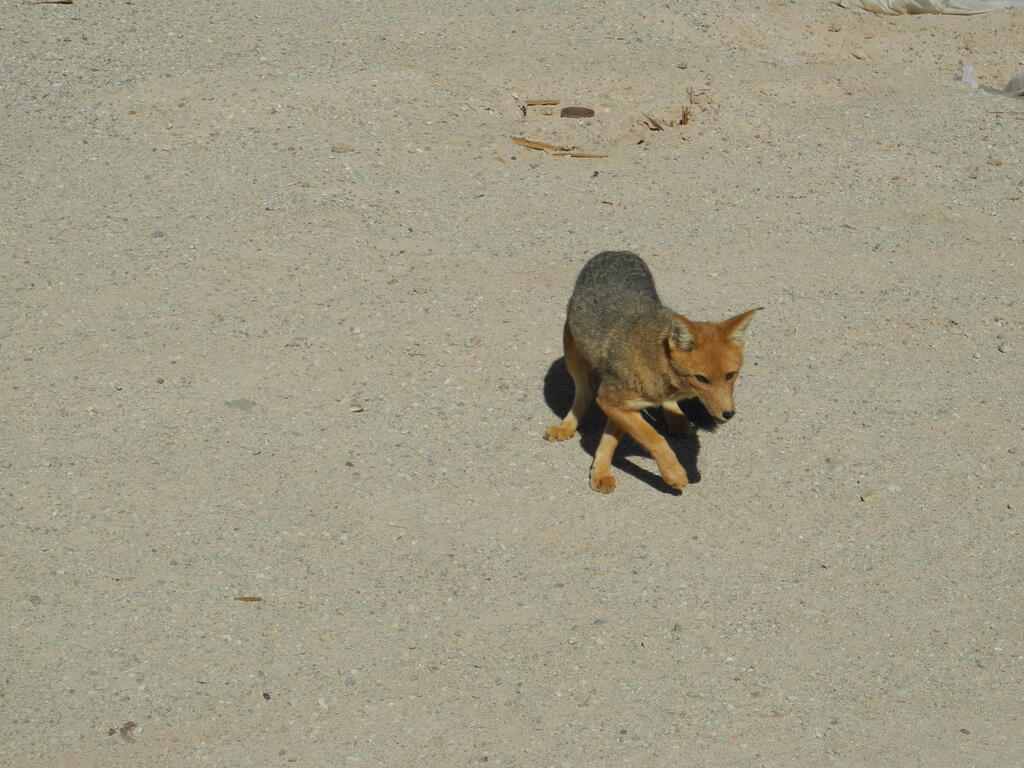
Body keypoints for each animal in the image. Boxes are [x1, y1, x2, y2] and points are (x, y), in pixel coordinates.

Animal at [544, 251, 758, 493]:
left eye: (730, 375)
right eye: (702, 379)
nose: (728, 414)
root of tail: (616, 252)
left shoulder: (621, 407)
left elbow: (611, 439)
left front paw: (601, 471)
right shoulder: (611, 400)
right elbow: (653, 437)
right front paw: (674, 474)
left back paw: (675, 417)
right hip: (573, 358)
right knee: (585, 392)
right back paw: (566, 425)